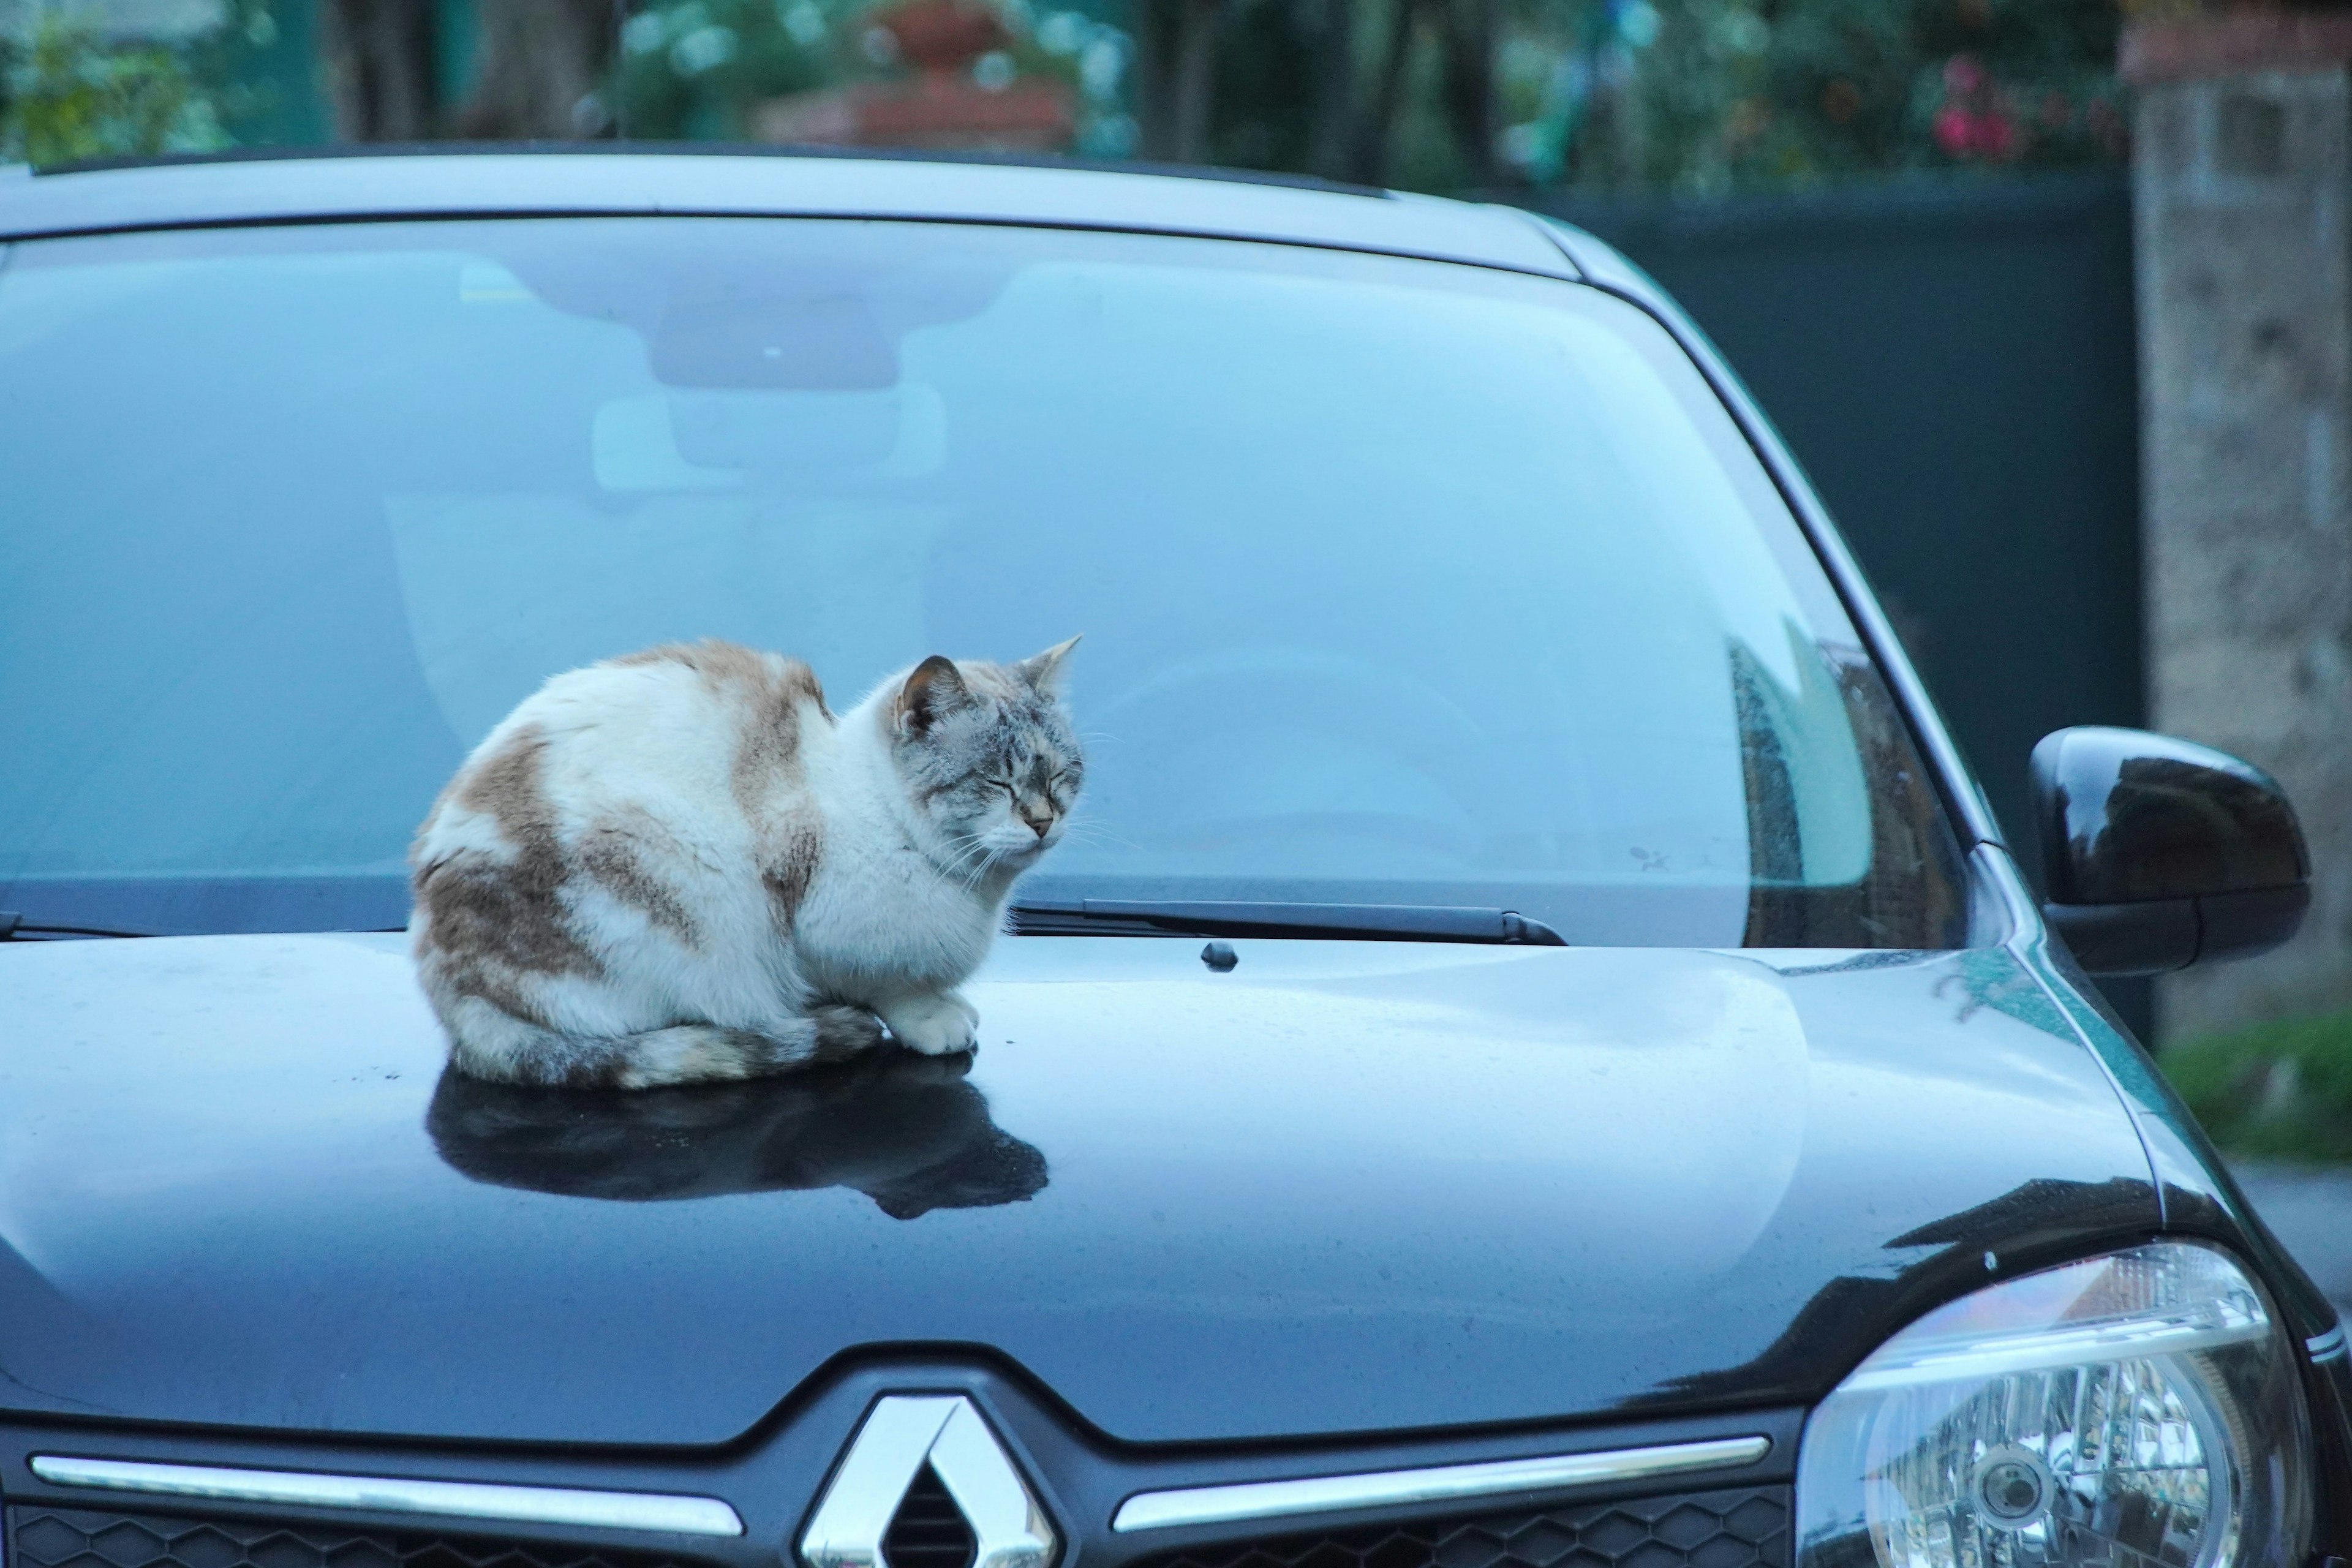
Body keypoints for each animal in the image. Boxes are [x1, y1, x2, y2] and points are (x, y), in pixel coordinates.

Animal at [407, 639, 1082, 1090]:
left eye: (1060, 775)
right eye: (995, 780)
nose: (1043, 821)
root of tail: (452, 995)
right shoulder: (824, 936)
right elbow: (891, 987)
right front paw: (932, 1018)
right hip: (673, 878)